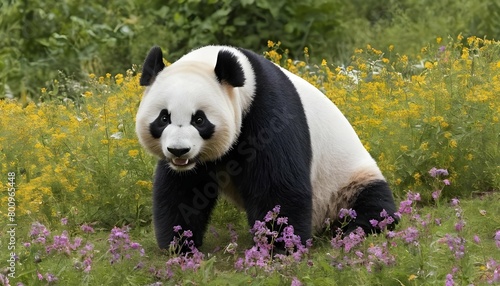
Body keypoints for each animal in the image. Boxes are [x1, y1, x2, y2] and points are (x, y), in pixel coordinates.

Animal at [134, 45, 398, 250]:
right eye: (163, 118)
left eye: (199, 119)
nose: (179, 151)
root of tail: (323, 222)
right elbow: (182, 190)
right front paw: (179, 244)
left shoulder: (268, 109)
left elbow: (278, 184)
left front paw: (279, 244)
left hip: (346, 179)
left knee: (372, 202)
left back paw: (355, 230)